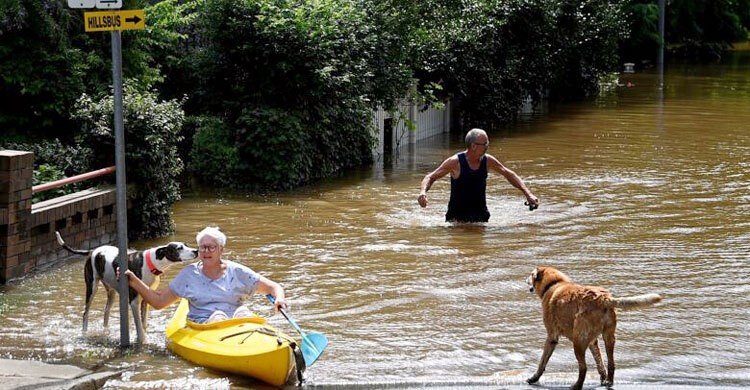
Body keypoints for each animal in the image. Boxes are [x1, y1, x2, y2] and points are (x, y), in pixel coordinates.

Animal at [55, 230, 198, 342]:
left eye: (186, 245)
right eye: (179, 248)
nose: (196, 250)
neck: (150, 262)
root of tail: (93, 250)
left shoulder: (146, 298)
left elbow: (143, 323)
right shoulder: (134, 300)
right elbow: (139, 328)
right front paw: (142, 341)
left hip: (111, 292)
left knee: (106, 312)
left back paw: (105, 332)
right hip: (91, 287)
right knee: (85, 313)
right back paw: (84, 333)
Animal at [524, 266, 660, 388]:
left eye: (531, 274)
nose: (525, 280)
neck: (554, 283)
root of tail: (603, 299)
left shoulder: (552, 337)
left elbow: (542, 362)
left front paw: (534, 378)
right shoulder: (593, 342)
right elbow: (599, 363)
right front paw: (603, 378)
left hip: (578, 342)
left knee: (583, 368)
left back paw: (576, 386)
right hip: (608, 338)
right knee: (611, 364)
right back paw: (608, 382)